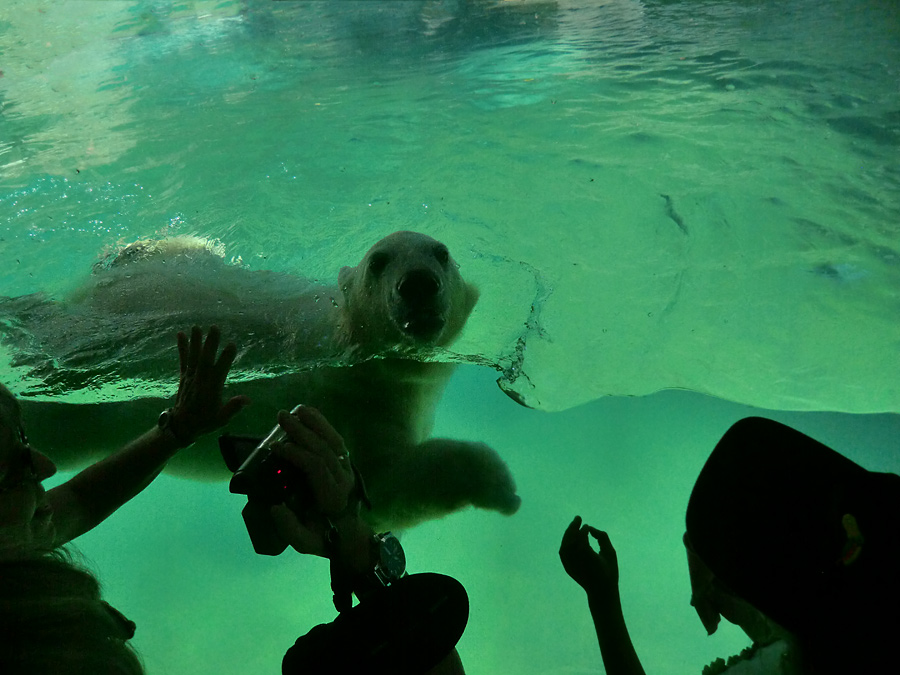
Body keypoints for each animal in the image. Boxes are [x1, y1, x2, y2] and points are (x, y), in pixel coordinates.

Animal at [7, 235, 520, 532]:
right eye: (379, 261)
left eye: (441, 254)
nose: (417, 283)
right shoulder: (354, 401)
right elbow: (381, 491)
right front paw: (500, 485)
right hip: (85, 395)